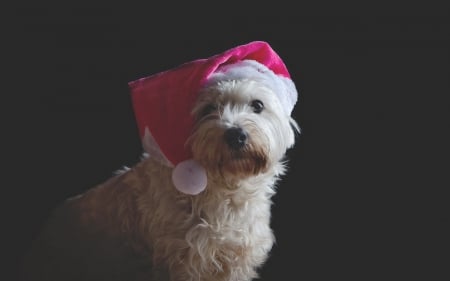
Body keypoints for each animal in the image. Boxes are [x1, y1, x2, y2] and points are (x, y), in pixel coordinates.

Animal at [22, 42, 302, 280]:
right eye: (208, 109)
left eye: (257, 105)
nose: (236, 135)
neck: (226, 189)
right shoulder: (184, 261)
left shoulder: (236, 260)